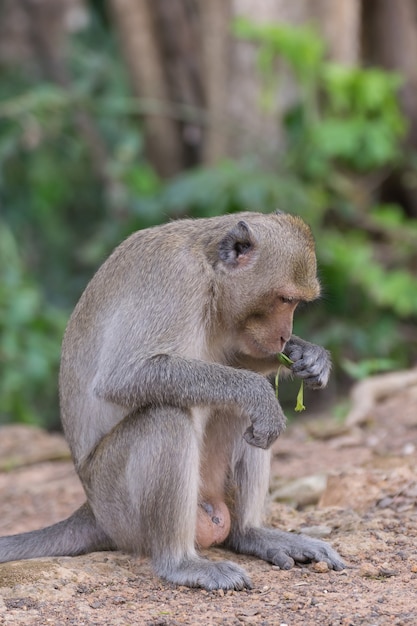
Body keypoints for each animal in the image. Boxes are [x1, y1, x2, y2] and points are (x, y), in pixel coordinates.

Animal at [0, 212, 344, 588]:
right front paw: (260, 390)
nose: (284, 335)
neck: (210, 275)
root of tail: (92, 511)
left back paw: (251, 533)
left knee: (240, 418)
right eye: (284, 299)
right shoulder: (178, 280)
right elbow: (124, 376)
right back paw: (179, 561)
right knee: (167, 417)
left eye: (296, 302)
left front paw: (308, 356)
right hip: (117, 505)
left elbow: (236, 359)